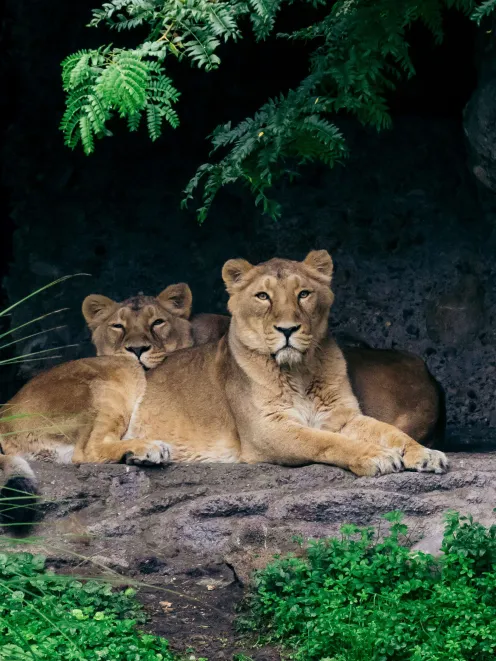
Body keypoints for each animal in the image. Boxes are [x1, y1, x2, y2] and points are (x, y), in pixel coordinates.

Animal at [0, 251, 448, 531]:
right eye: (263, 296)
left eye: (304, 294)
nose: (288, 329)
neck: (300, 370)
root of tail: (8, 405)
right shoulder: (267, 432)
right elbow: (326, 443)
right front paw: (374, 457)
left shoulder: (343, 416)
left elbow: (390, 431)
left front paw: (424, 454)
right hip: (120, 372)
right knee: (86, 452)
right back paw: (147, 449)